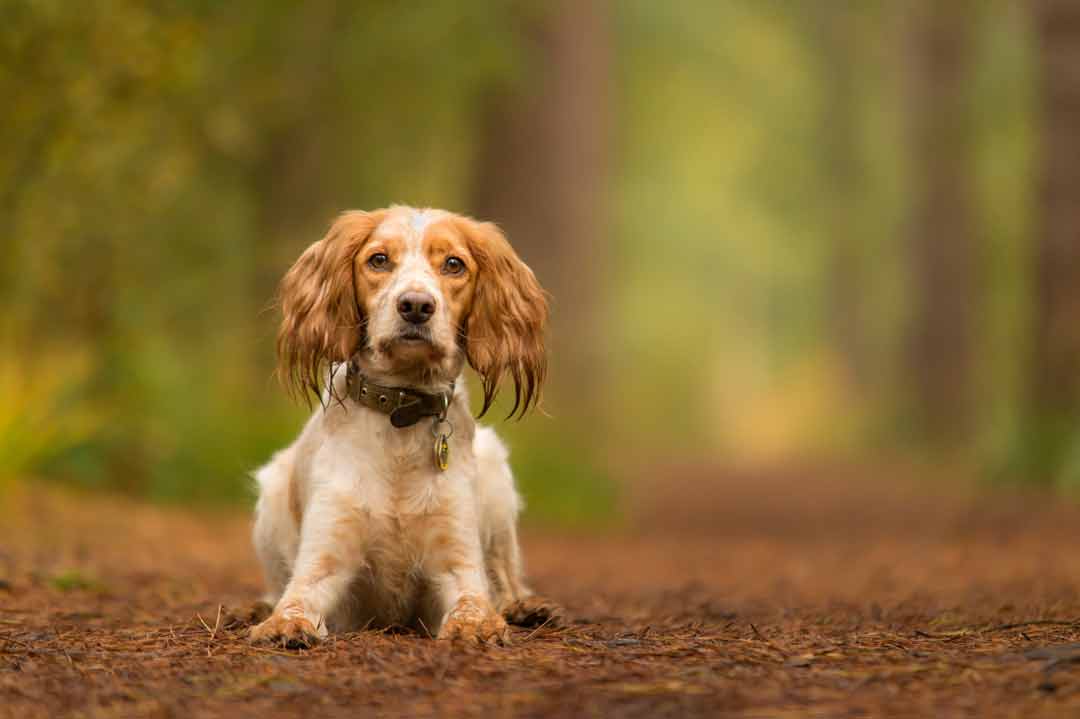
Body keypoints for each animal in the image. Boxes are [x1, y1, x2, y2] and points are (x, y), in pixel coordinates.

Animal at [246, 206, 557, 643]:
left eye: (454, 264)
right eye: (379, 259)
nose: (415, 305)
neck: (401, 415)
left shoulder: (457, 563)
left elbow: (474, 601)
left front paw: (479, 625)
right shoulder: (325, 559)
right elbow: (296, 598)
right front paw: (281, 624)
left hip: (496, 479)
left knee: (506, 577)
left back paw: (524, 607)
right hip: (272, 490)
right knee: (275, 587)